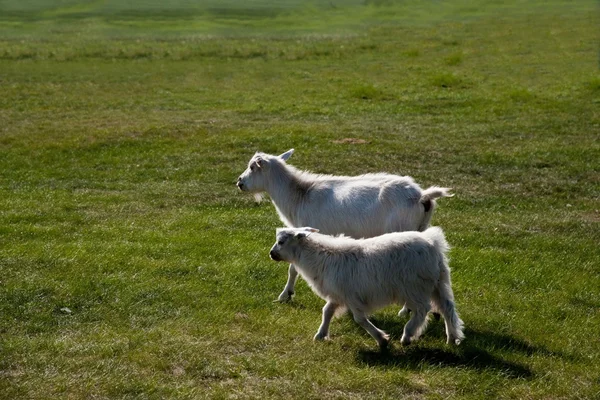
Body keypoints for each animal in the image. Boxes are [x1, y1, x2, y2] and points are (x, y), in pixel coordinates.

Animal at [237, 148, 452, 304]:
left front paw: (285, 295)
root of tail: (422, 196)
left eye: (252, 167)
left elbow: (293, 268)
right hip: (421, 229)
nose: (239, 182)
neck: (300, 195)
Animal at [270, 227, 466, 348]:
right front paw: (320, 334)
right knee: (447, 308)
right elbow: (327, 312)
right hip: (437, 283)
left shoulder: (352, 296)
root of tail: (433, 243)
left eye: (281, 242)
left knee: (423, 310)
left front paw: (381, 339)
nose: (271, 254)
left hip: (415, 287)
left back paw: (408, 335)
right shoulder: (338, 295)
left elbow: (360, 319)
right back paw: (452, 337)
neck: (322, 256)